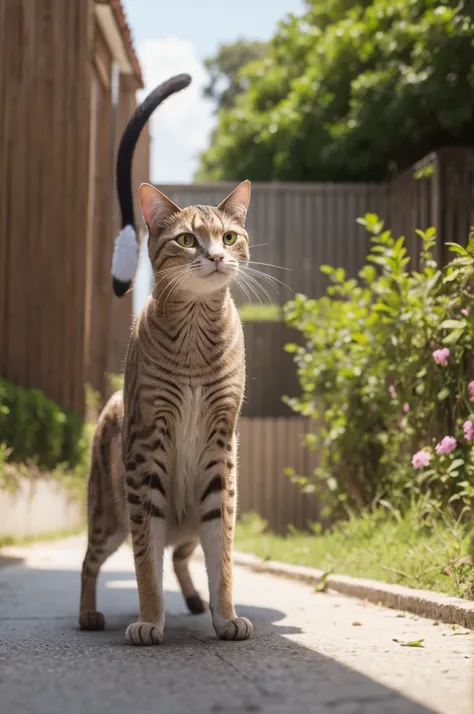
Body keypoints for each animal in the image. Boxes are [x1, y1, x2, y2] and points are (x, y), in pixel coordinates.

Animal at [79, 75, 254, 644]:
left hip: (189, 515)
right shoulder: (146, 449)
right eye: (185, 239)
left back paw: (198, 601)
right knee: (91, 561)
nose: (216, 256)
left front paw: (225, 613)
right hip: (106, 512)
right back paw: (89, 613)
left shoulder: (221, 450)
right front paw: (149, 619)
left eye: (229, 236)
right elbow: (143, 560)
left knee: (182, 553)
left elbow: (222, 555)